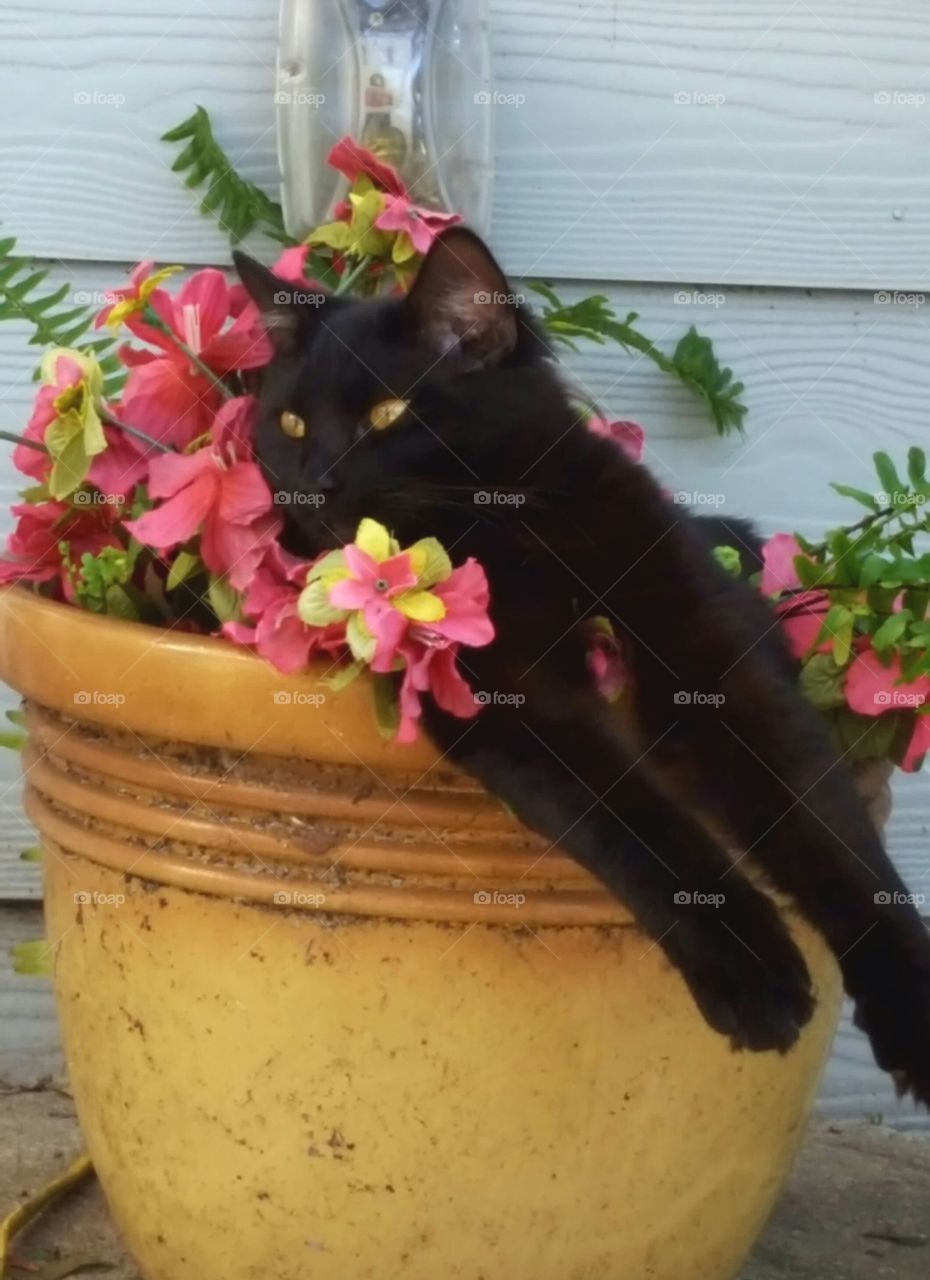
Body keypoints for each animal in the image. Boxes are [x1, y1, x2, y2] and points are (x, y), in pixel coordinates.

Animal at [236, 227, 930, 1100]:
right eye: (291, 424)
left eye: (387, 414)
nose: (311, 486)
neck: (523, 537)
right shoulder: (519, 701)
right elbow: (634, 822)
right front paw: (754, 974)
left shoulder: (716, 653)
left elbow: (826, 828)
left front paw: (913, 1006)